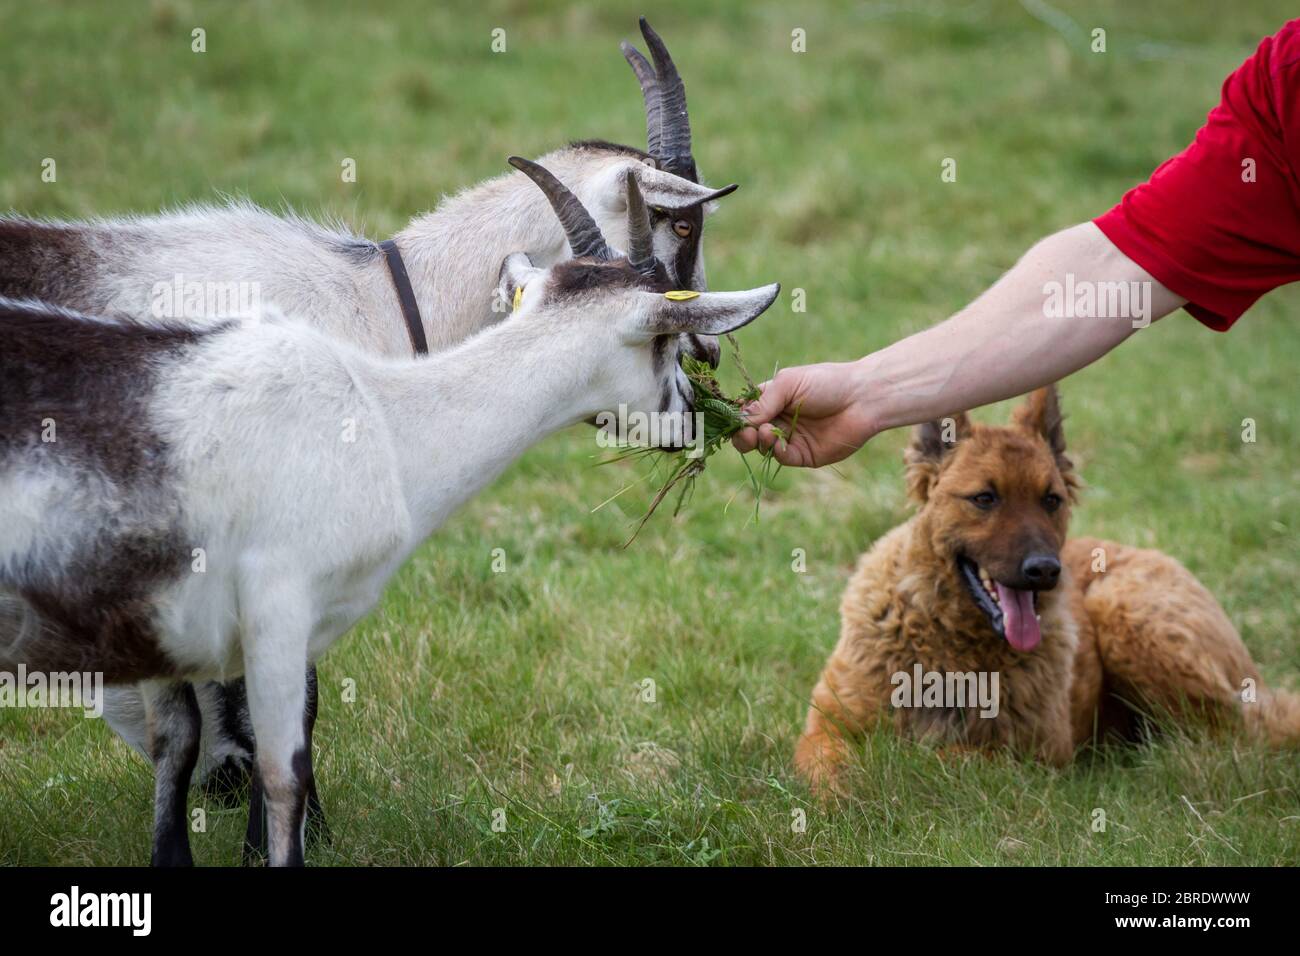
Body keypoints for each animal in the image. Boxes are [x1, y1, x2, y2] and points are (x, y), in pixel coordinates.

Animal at [790, 385, 1300, 796]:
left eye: (1050, 500)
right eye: (984, 499)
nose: (1045, 570)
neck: (948, 639)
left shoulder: (1032, 756)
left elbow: (936, 755)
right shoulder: (825, 729)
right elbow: (832, 766)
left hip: (1128, 617)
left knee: (1232, 734)